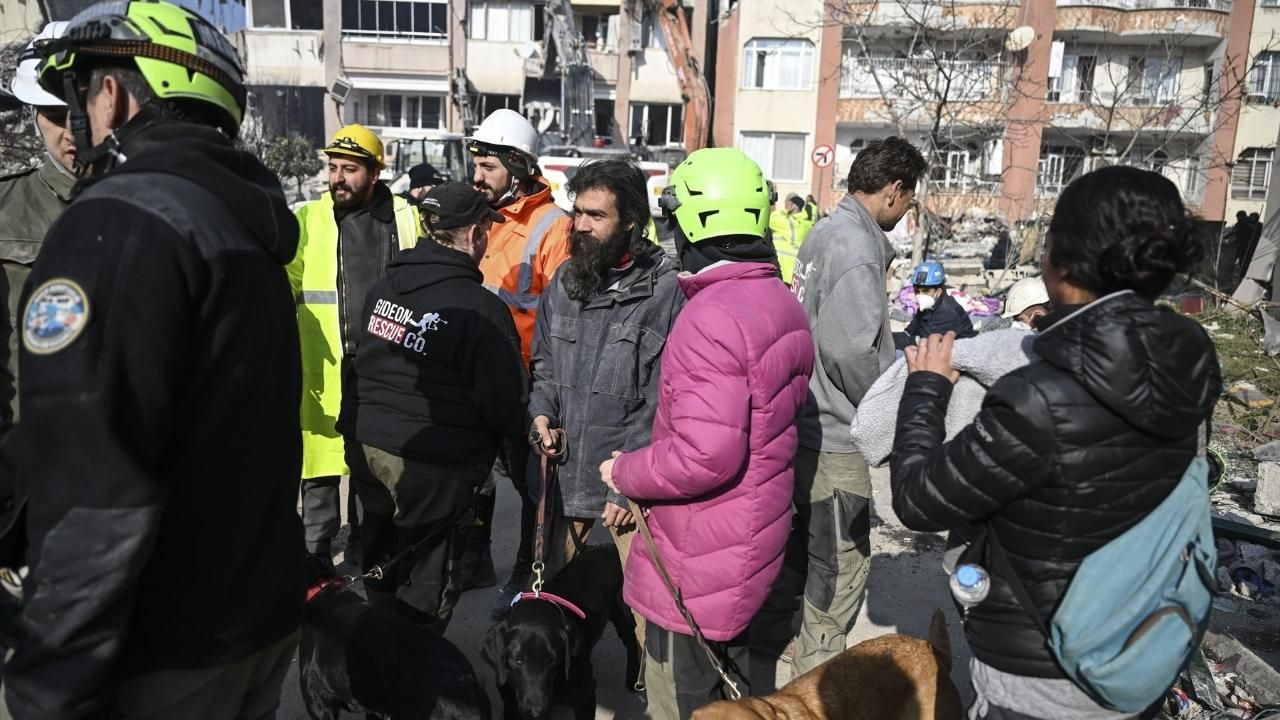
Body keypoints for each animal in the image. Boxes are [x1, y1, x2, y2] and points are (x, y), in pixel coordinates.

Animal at [481, 543, 640, 717]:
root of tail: (610, 546)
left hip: (624, 616)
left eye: (552, 660)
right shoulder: (510, 706)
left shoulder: (586, 695)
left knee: (633, 644)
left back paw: (633, 680)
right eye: (518, 660)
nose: (536, 710)